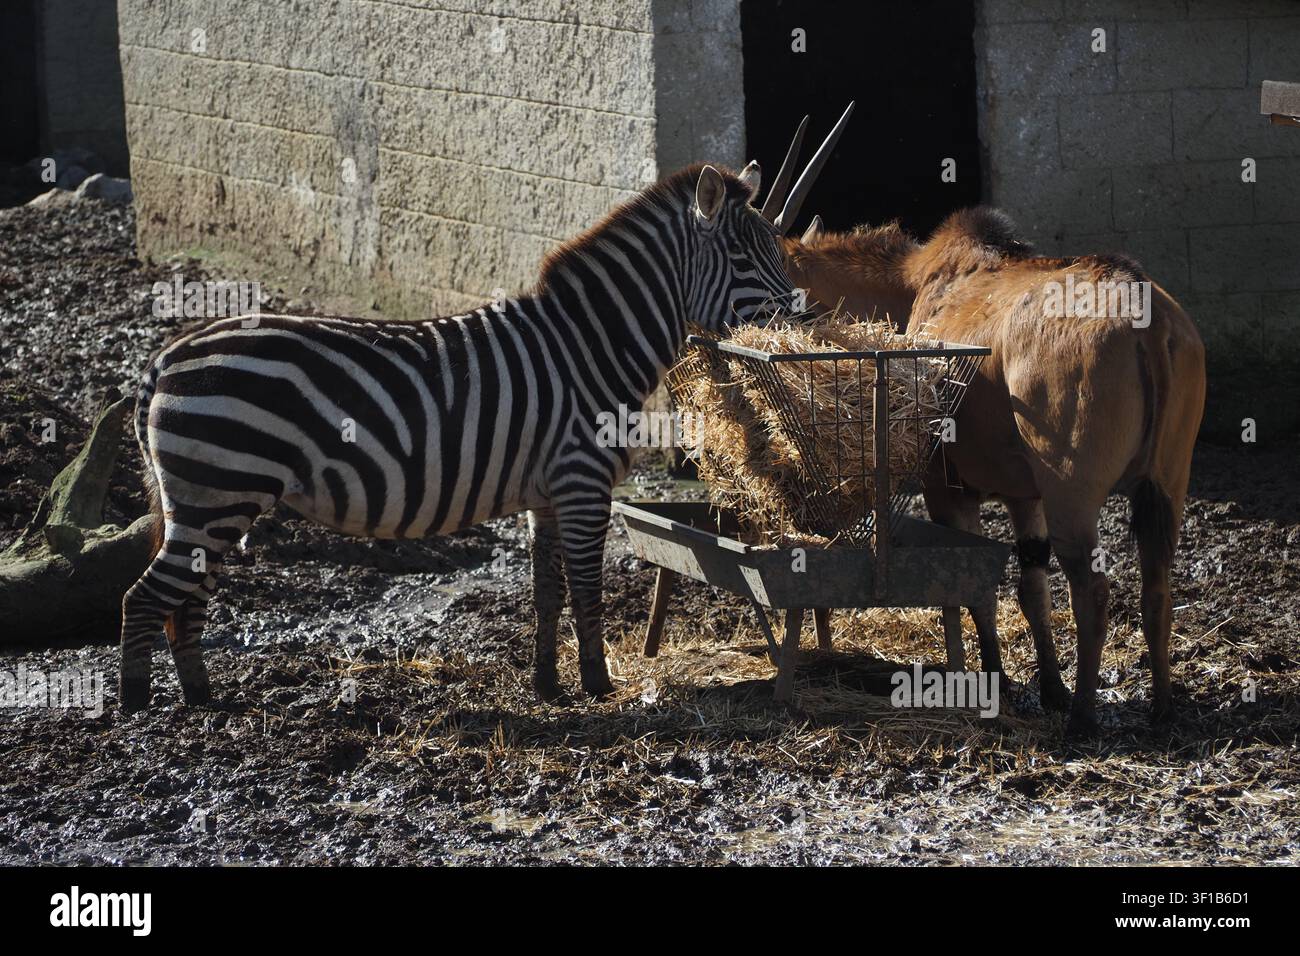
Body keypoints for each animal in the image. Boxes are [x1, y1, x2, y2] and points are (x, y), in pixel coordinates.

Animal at [120, 112, 852, 712]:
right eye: (745, 259)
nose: (807, 323)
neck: (592, 344)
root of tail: (163, 360)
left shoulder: (547, 494)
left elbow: (547, 591)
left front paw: (548, 685)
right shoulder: (583, 483)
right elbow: (586, 587)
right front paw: (598, 685)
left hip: (212, 500)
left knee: (184, 602)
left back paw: (203, 699)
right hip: (218, 491)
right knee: (145, 598)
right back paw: (137, 710)